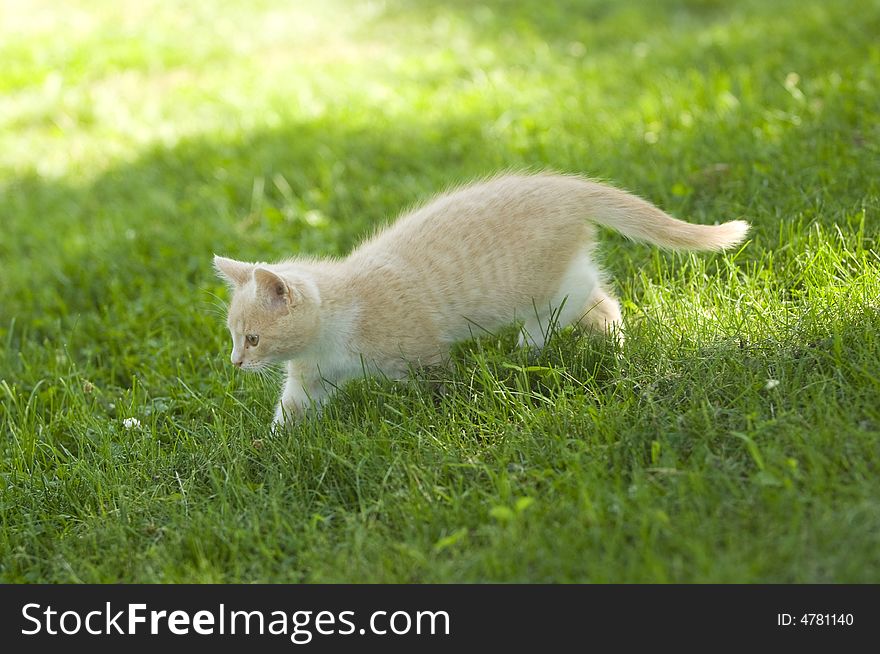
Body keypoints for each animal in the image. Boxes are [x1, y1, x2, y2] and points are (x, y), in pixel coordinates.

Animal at [215, 173, 748, 430]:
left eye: (254, 338)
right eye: (235, 337)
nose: (236, 363)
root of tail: (567, 188)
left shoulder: (421, 351)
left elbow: (439, 385)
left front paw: (439, 415)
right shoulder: (310, 378)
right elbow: (292, 410)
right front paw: (270, 448)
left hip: (544, 286)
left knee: (586, 306)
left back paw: (546, 350)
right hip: (564, 275)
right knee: (597, 299)